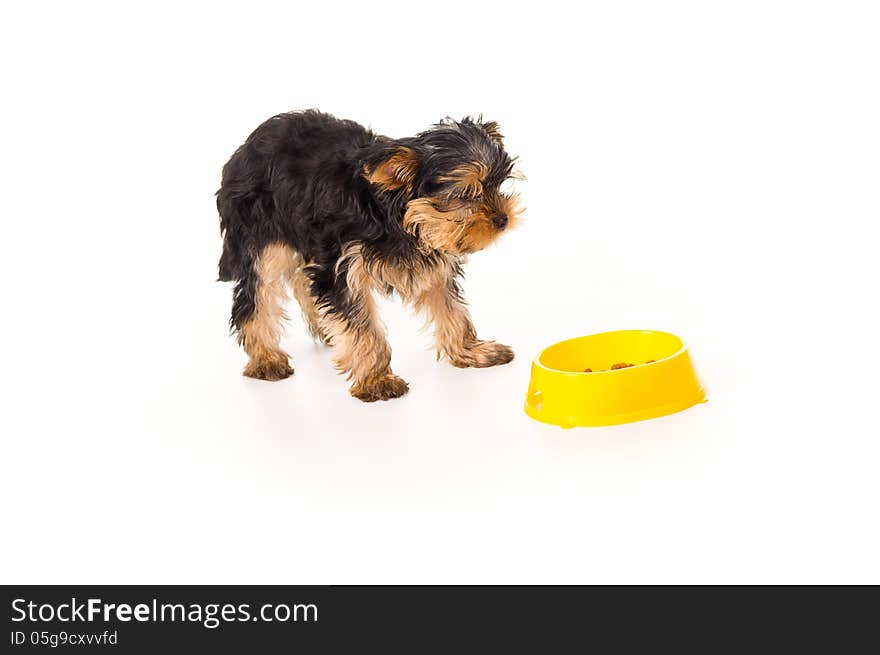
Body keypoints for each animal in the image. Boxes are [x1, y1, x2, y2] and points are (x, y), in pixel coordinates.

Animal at [217, 110, 524, 402]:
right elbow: (361, 325)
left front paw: (470, 350)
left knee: (304, 282)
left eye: (497, 185)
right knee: (256, 296)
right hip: (261, 236)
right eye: (467, 194)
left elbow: (451, 307)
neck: (396, 214)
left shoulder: (431, 260)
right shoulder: (345, 266)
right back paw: (265, 359)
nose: (503, 219)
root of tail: (244, 149)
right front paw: (376, 380)